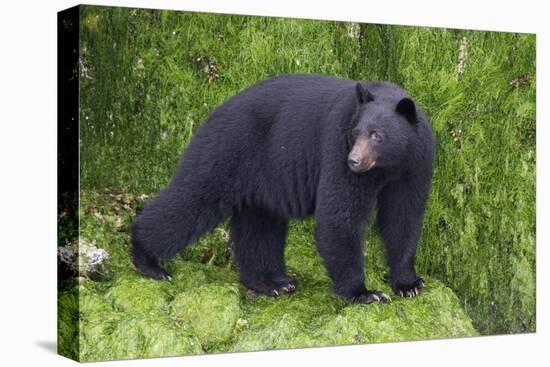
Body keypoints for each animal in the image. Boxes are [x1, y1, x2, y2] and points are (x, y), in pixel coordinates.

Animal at [133, 73, 436, 304]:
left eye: (377, 135)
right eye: (356, 132)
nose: (354, 161)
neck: (388, 166)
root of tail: (215, 110)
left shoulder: (415, 165)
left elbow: (404, 216)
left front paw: (408, 283)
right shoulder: (336, 148)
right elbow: (339, 215)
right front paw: (364, 292)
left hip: (259, 179)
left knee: (259, 228)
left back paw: (273, 282)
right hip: (225, 150)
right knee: (191, 200)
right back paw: (147, 259)